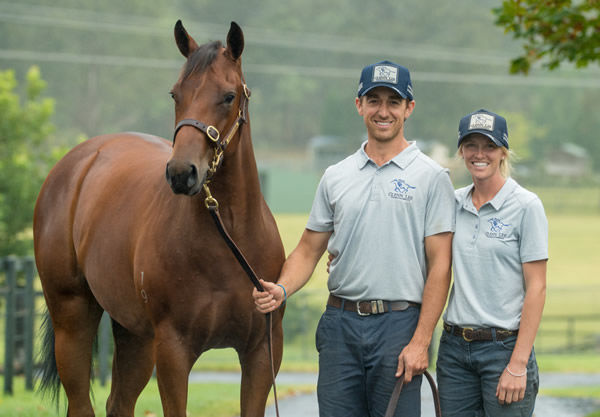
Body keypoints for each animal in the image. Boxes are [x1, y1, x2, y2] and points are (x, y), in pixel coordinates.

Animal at [32, 20, 286, 416]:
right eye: (175, 94)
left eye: (229, 96)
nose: (182, 173)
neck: (229, 241)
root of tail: (79, 161)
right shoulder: (173, 350)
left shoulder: (262, 351)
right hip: (72, 317)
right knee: (81, 402)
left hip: (134, 334)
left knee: (119, 403)